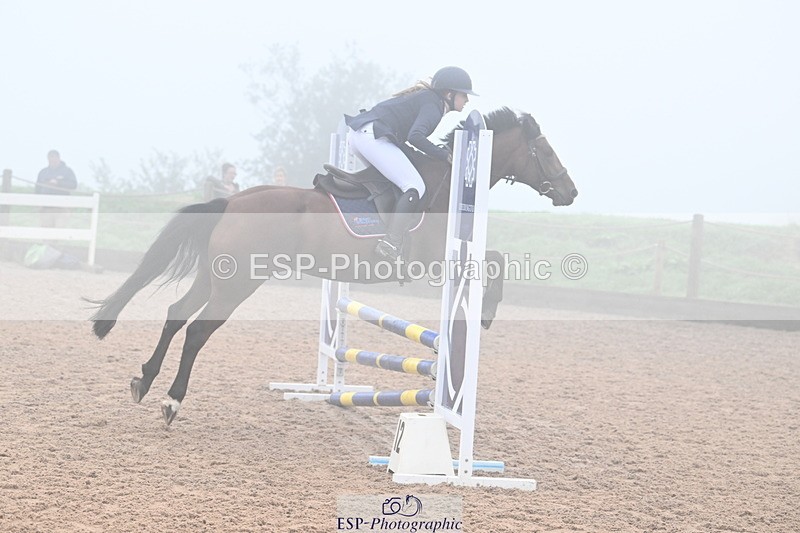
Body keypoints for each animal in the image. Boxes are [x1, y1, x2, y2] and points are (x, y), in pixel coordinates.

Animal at [90, 107, 578, 425]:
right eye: (546, 150)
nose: (571, 192)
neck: (450, 181)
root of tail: (231, 201)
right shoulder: (438, 260)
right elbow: (495, 261)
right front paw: (487, 313)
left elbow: (496, 260)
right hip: (239, 284)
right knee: (196, 332)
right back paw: (172, 402)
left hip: (216, 277)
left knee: (176, 315)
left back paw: (144, 381)